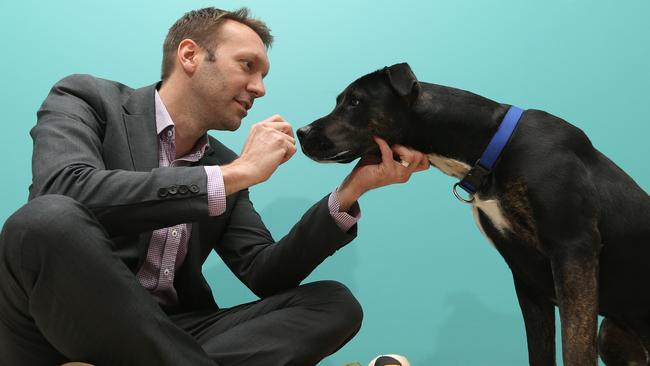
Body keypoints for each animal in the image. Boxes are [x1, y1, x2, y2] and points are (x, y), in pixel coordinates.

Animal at [298, 63, 648, 366]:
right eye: (340, 101)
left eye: (355, 101)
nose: (301, 131)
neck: (488, 148)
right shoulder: (526, 276)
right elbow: (540, 352)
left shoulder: (574, 251)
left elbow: (575, 350)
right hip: (610, 334)